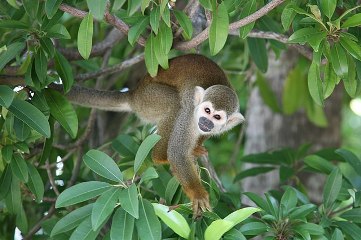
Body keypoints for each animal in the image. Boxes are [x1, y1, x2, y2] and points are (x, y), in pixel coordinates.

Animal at [62, 54, 245, 218]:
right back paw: (159, 157)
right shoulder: (189, 114)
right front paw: (197, 193)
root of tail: (134, 94)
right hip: (148, 100)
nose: (206, 122)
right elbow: (177, 153)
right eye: (207, 110)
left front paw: (196, 147)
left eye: (217, 117)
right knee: (175, 104)